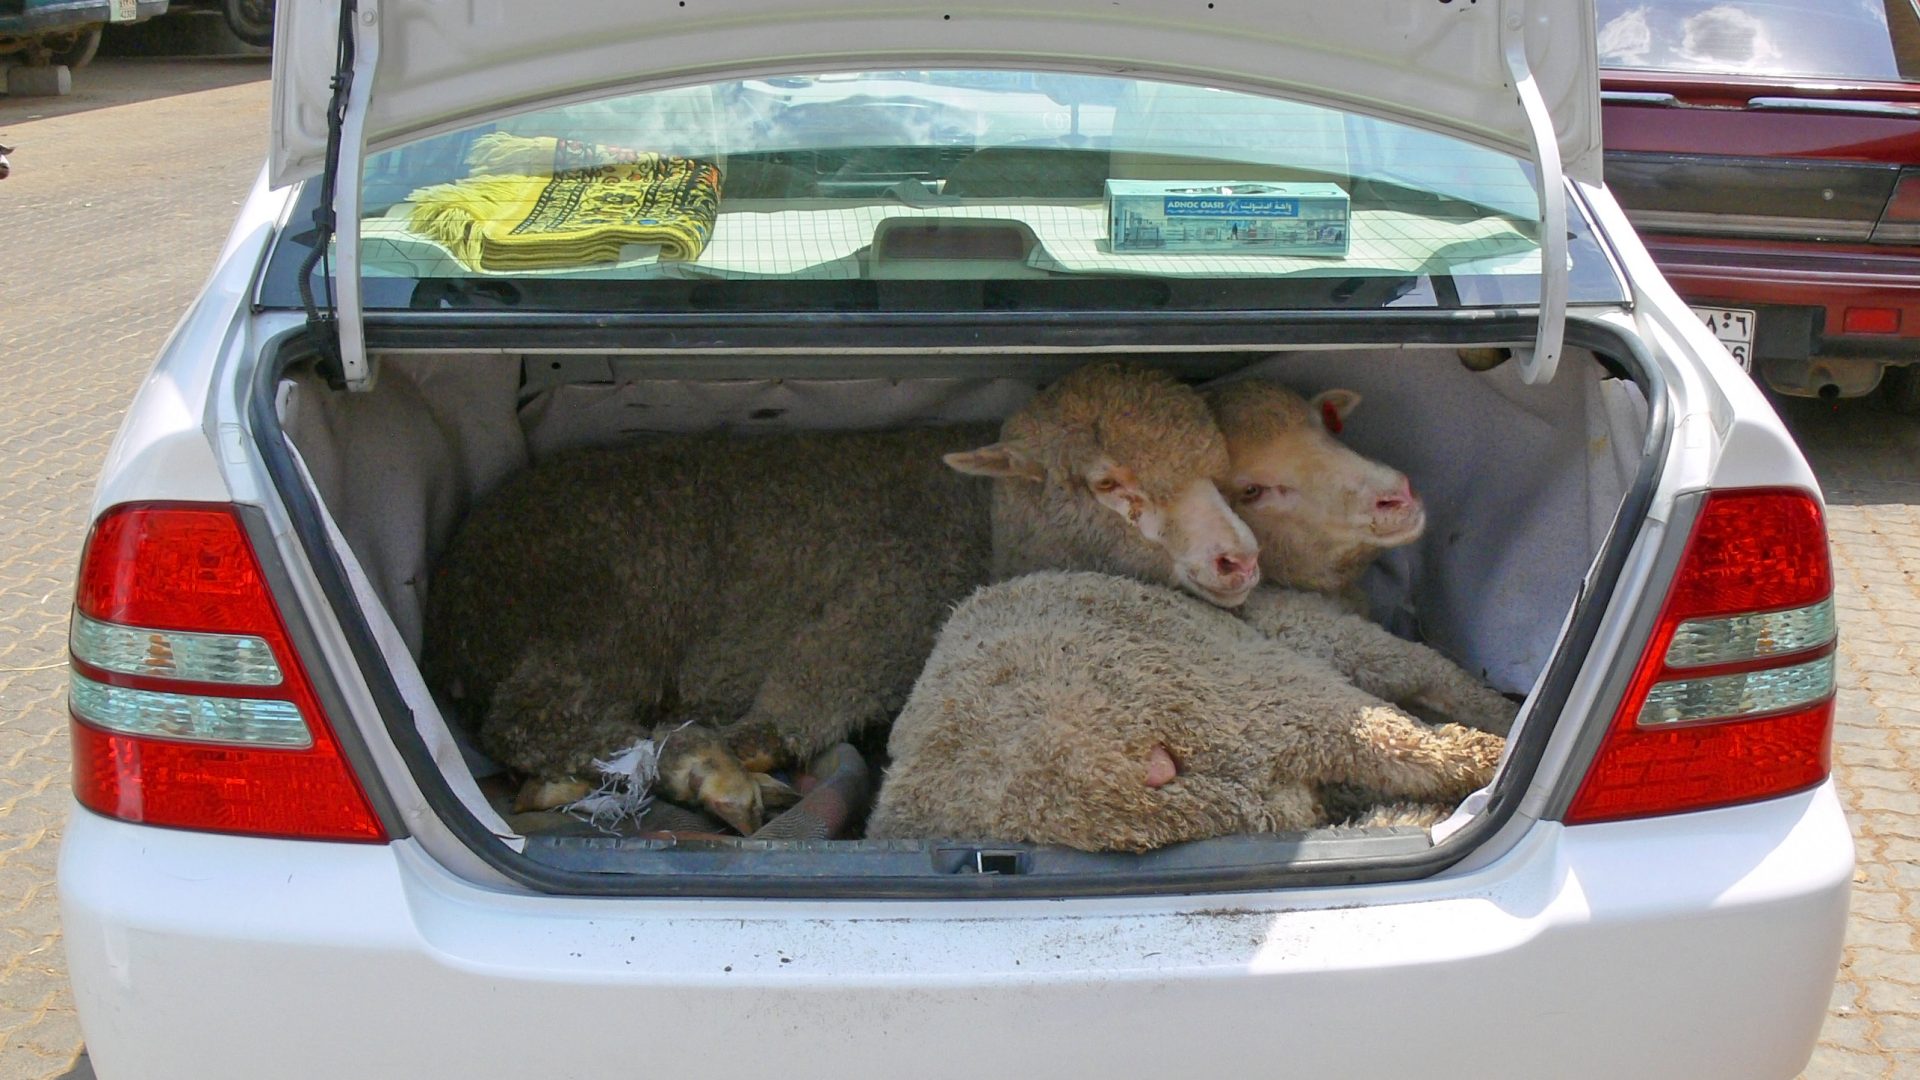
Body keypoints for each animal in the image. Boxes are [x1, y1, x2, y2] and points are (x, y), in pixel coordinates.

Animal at [864, 572, 1505, 849]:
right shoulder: (1311, 639)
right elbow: (1427, 672)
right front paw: (1494, 709)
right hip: (1247, 698)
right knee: (1404, 744)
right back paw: (1487, 763)